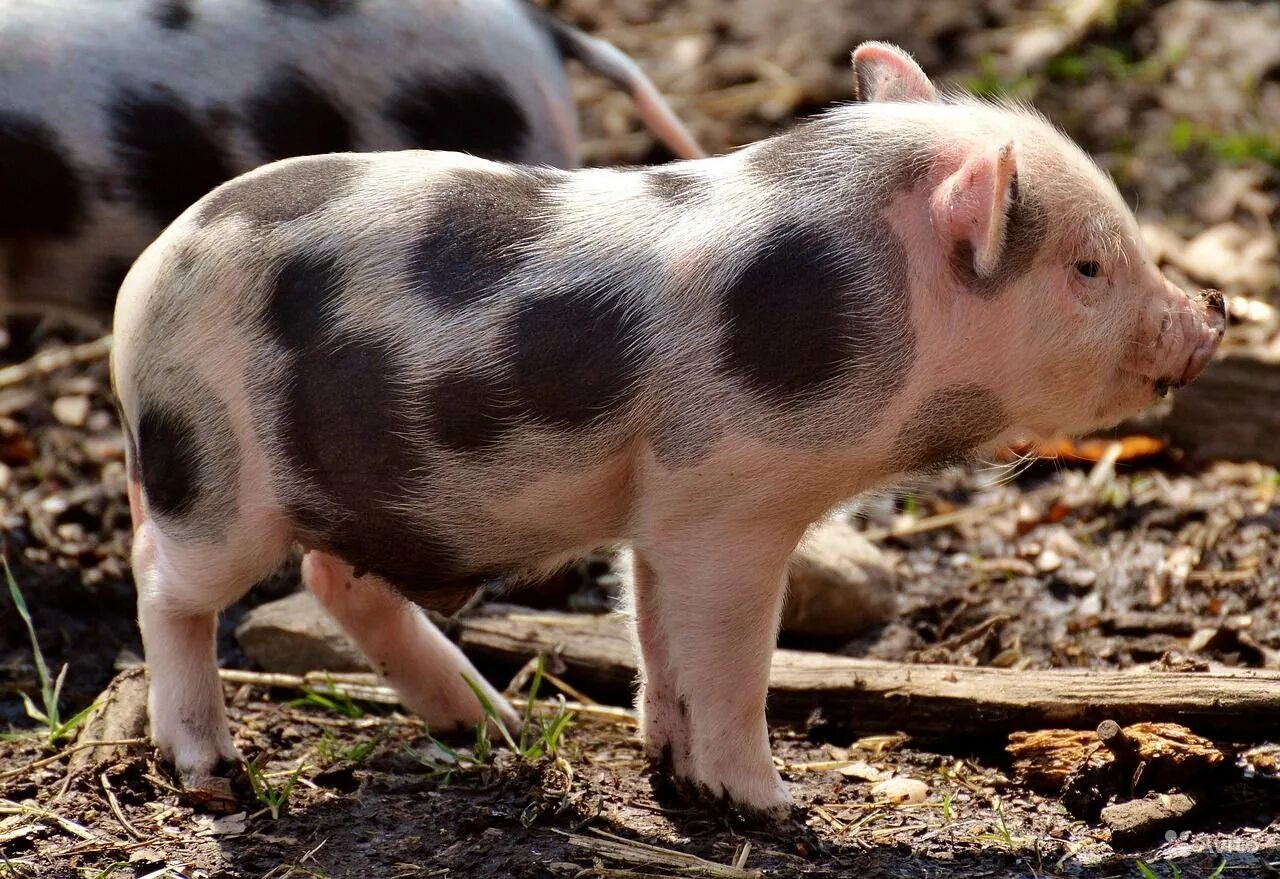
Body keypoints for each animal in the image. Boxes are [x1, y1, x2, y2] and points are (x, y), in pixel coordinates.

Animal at [112, 42, 1228, 818]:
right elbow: (729, 655)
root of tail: (145, 280)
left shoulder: (663, 511)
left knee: (331, 576)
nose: (1212, 313)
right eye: (1086, 266)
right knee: (163, 582)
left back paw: (494, 723)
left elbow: (655, 634)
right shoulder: (729, 503)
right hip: (209, 474)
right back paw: (213, 775)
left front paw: (672, 775)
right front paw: (771, 806)